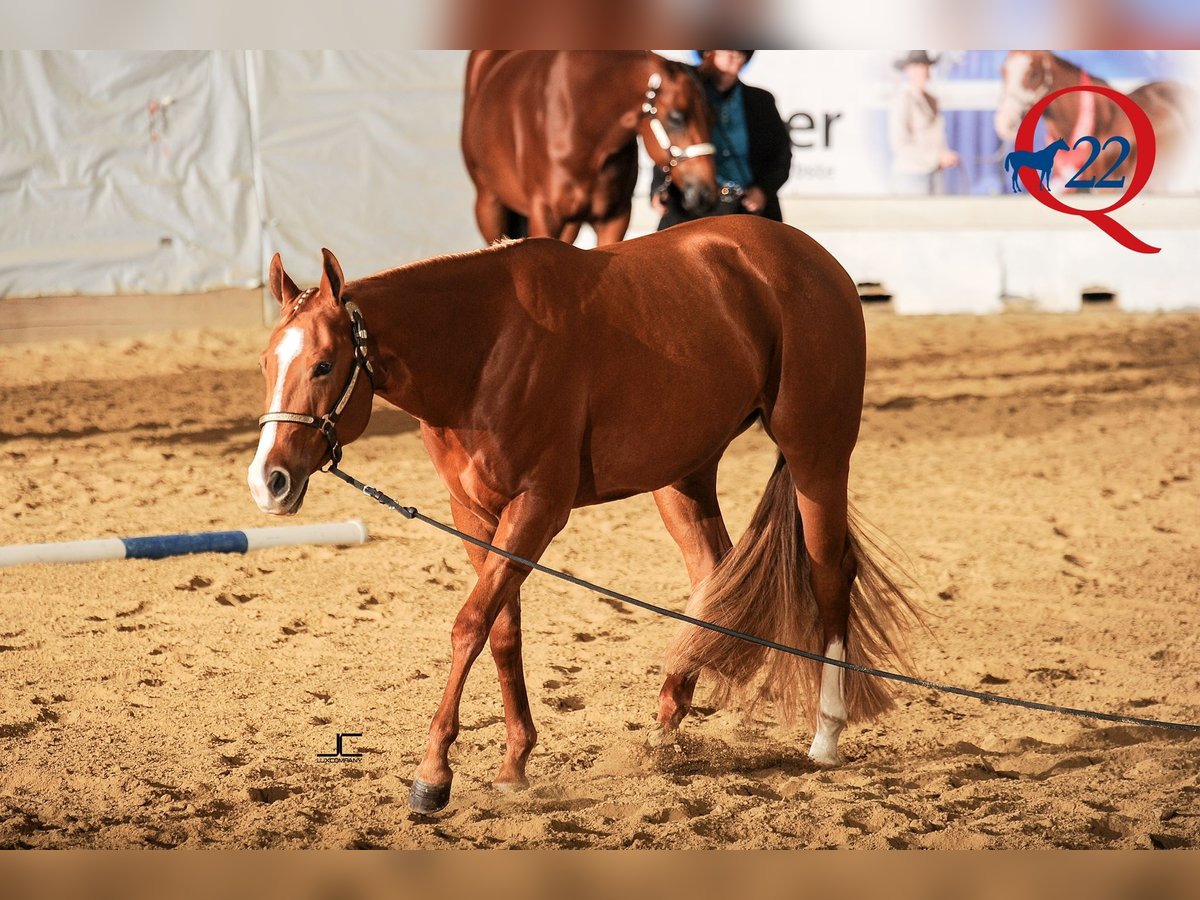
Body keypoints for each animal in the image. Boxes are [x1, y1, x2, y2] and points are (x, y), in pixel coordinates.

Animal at [247, 217, 918, 814]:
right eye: (265, 364)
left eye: (324, 364)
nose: (268, 480)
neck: (484, 348)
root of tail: (813, 259)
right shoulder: (473, 513)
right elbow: (501, 628)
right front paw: (514, 763)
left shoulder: (538, 508)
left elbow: (470, 623)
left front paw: (433, 775)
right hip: (683, 475)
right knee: (712, 575)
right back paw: (666, 724)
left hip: (817, 456)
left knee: (829, 572)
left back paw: (826, 734)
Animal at [461, 51, 719, 245]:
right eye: (676, 117)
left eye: (711, 117)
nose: (706, 194)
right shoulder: (544, 215)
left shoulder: (614, 219)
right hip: (489, 204)